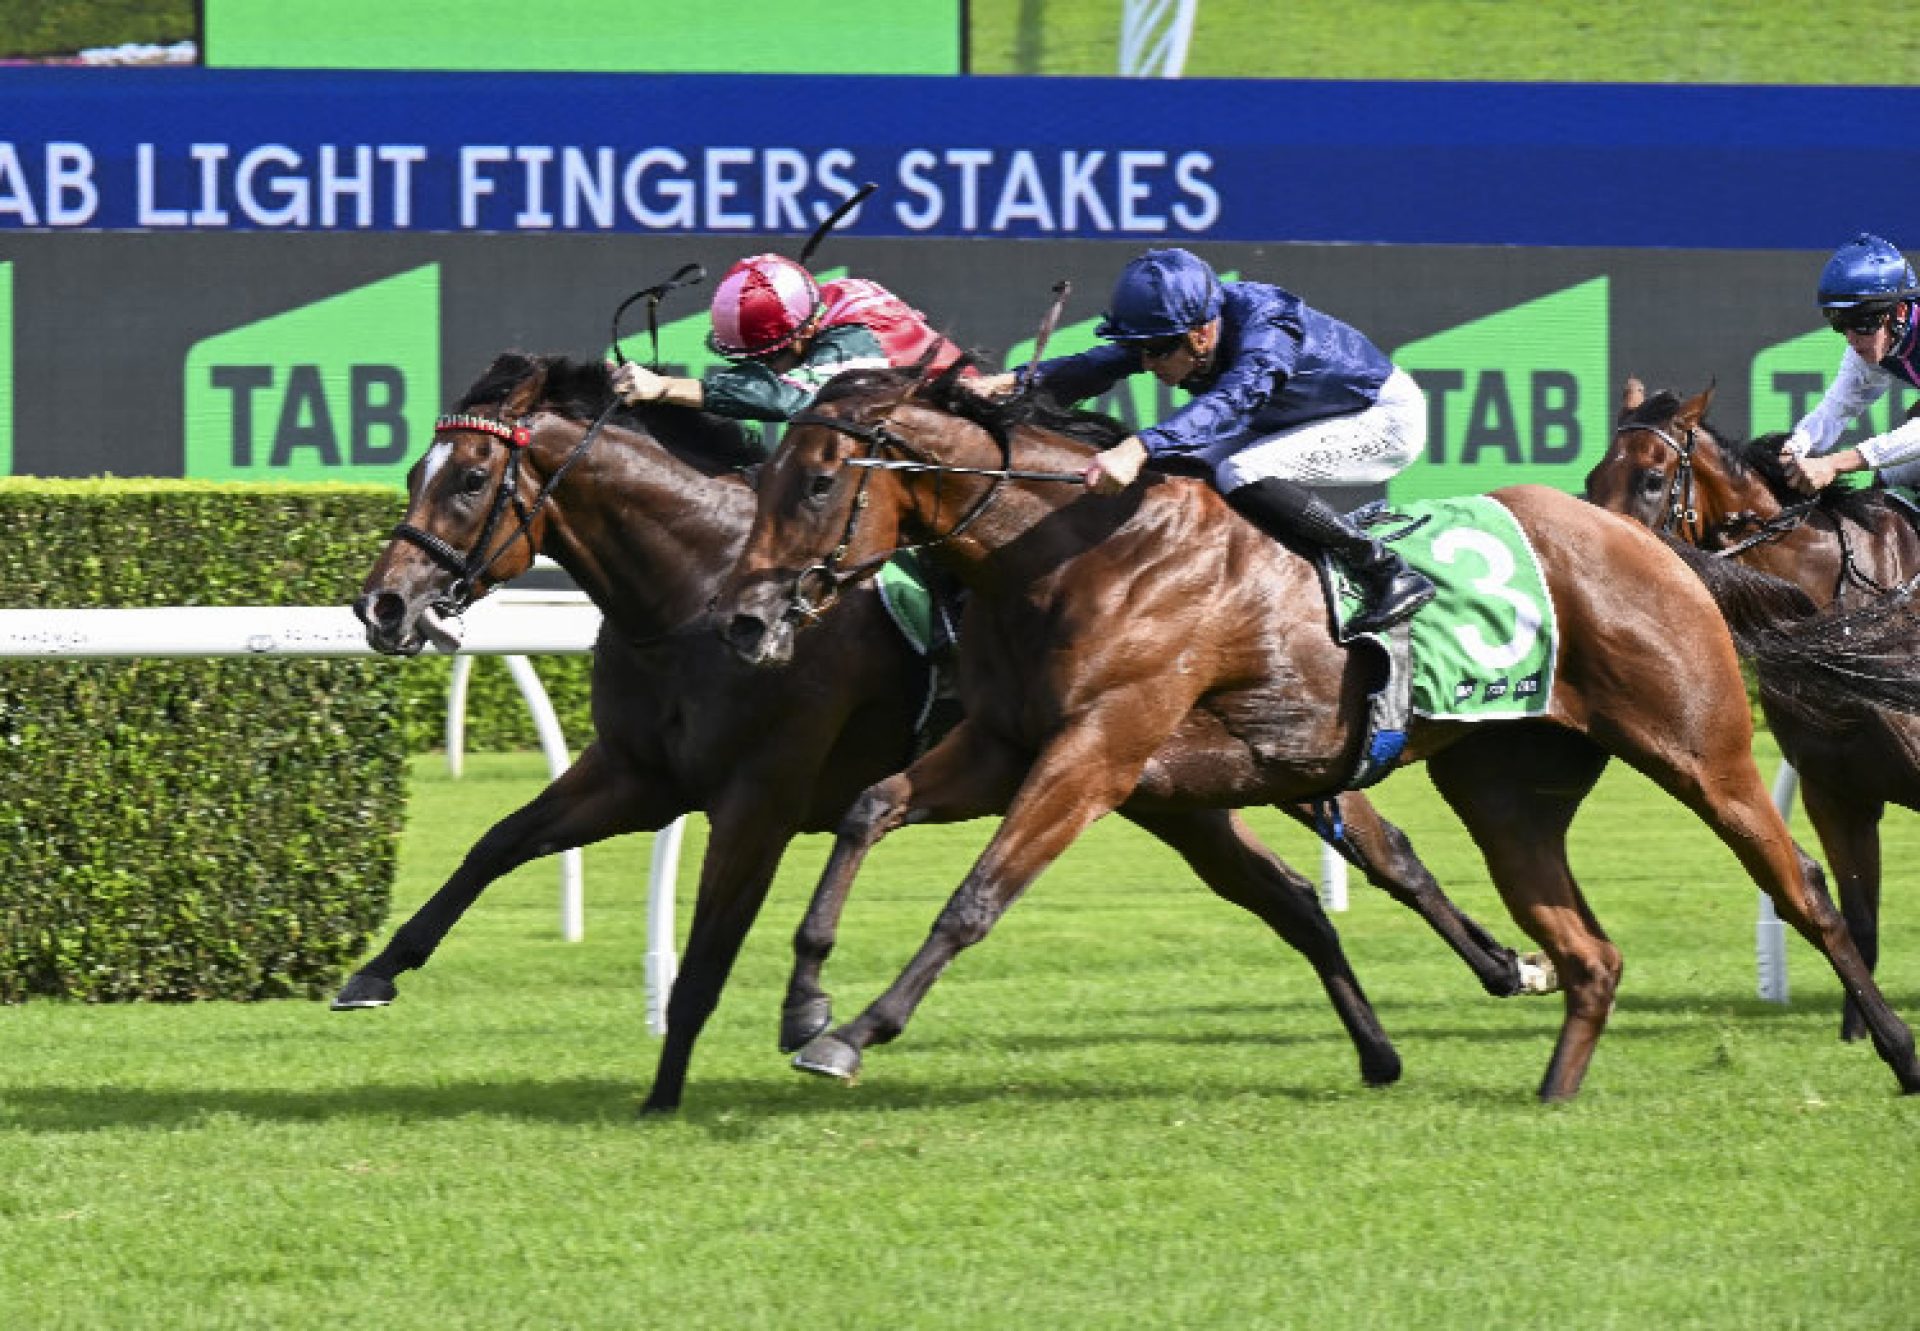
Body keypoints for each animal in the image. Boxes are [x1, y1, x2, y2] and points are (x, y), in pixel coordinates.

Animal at [334, 353, 1528, 1113]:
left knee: (1385, 853)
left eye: (470, 478)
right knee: (1288, 895)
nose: (382, 605)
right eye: (417, 471)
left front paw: (685, 1081)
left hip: (1187, 765)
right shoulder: (638, 772)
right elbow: (497, 842)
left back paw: (1507, 965)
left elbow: (710, 951)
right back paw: (1388, 1042)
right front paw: (375, 970)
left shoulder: (759, 794)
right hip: (1165, 790)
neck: (701, 587)